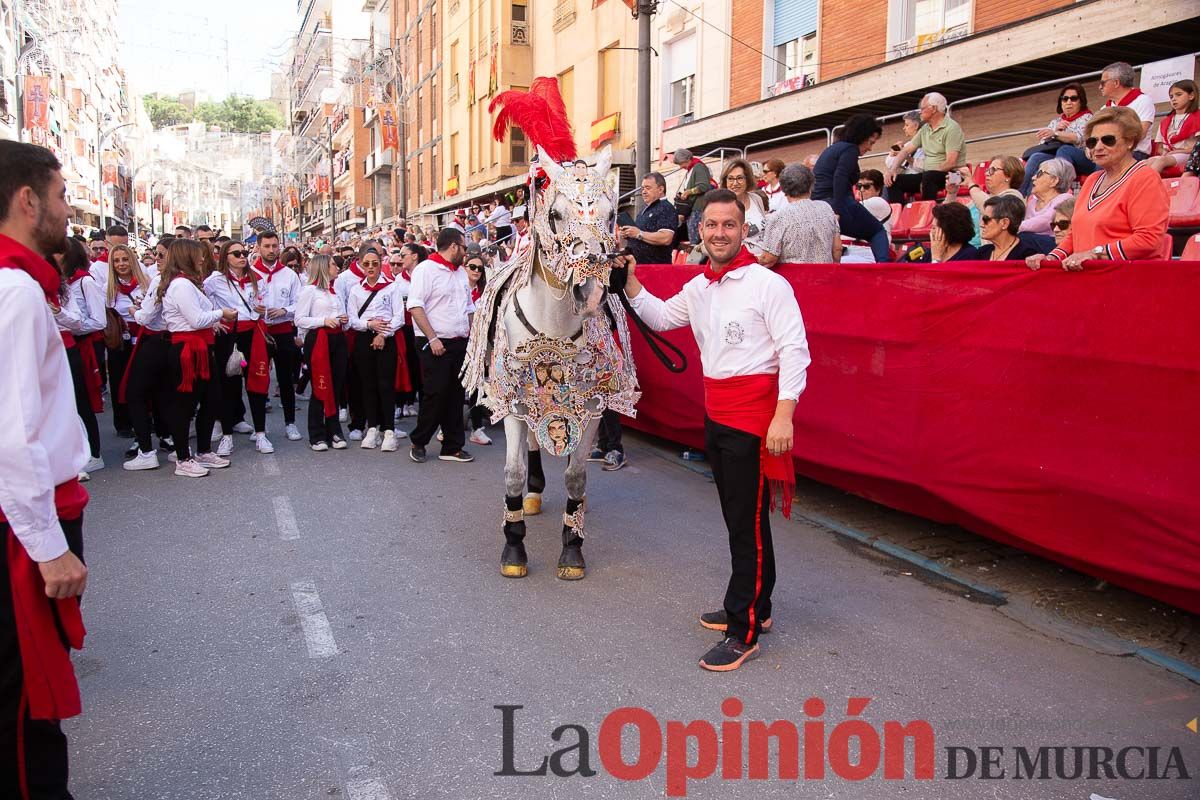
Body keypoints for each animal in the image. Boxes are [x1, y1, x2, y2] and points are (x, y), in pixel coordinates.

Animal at [463, 145, 643, 582]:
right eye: (557, 214)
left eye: (611, 214)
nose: (590, 289)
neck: (554, 324)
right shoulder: (513, 401)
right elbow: (512, 473)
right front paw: (513, 548)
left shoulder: (592, 406)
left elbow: (576, 478)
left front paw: (572, 549)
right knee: (530, 442)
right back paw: (533, 492)